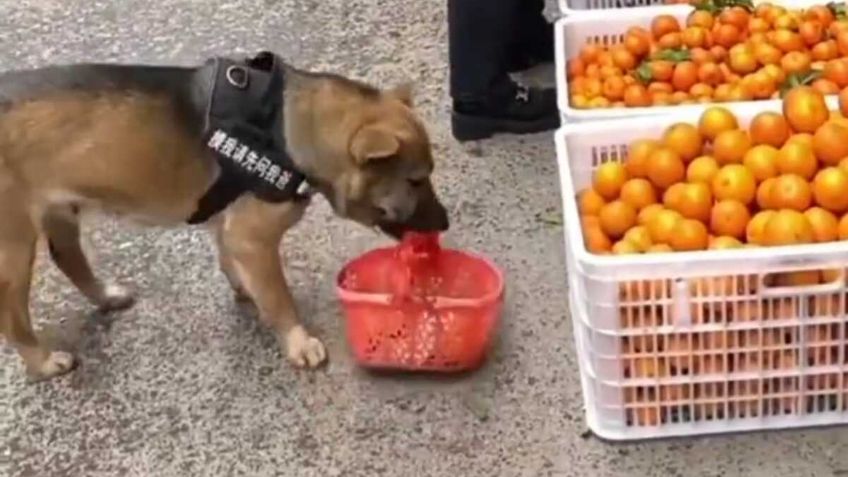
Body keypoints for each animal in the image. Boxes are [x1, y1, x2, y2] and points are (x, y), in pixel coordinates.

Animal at [0, 51, 450, 380]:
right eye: (415, 181)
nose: (445, 224)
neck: (289, 125)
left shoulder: (229, 225)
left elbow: (231, 261)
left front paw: (245, 289)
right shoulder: (252, 239)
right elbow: (280, 296)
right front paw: (298, 340)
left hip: (58, 210)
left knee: (68, 256)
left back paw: (105, 296)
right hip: (14, 247)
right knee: (13, 316)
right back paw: (43, 362)